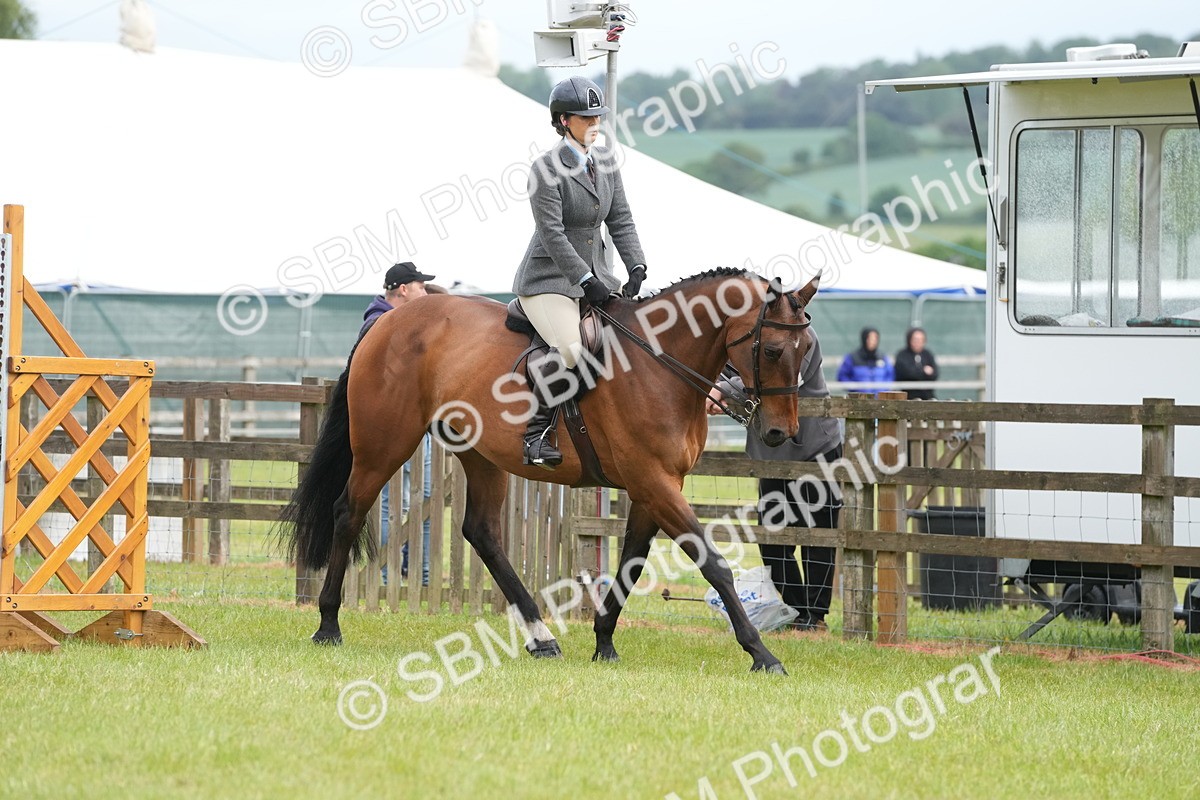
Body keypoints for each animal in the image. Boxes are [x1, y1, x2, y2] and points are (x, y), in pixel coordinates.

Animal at [279, 268, 820, 674]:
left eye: (808, 348)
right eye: (773, 350)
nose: (780, 433)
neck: (658, 363)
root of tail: (388, 322)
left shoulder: (655, 487)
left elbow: (630, 563)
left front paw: (604, 643)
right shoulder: (653, 482)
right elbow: (714, 563)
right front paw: (762, 653)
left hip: (480, 455)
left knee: (482, 532)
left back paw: (541, 637)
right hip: (384, 445)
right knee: (348, 513)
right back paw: (328, 625)